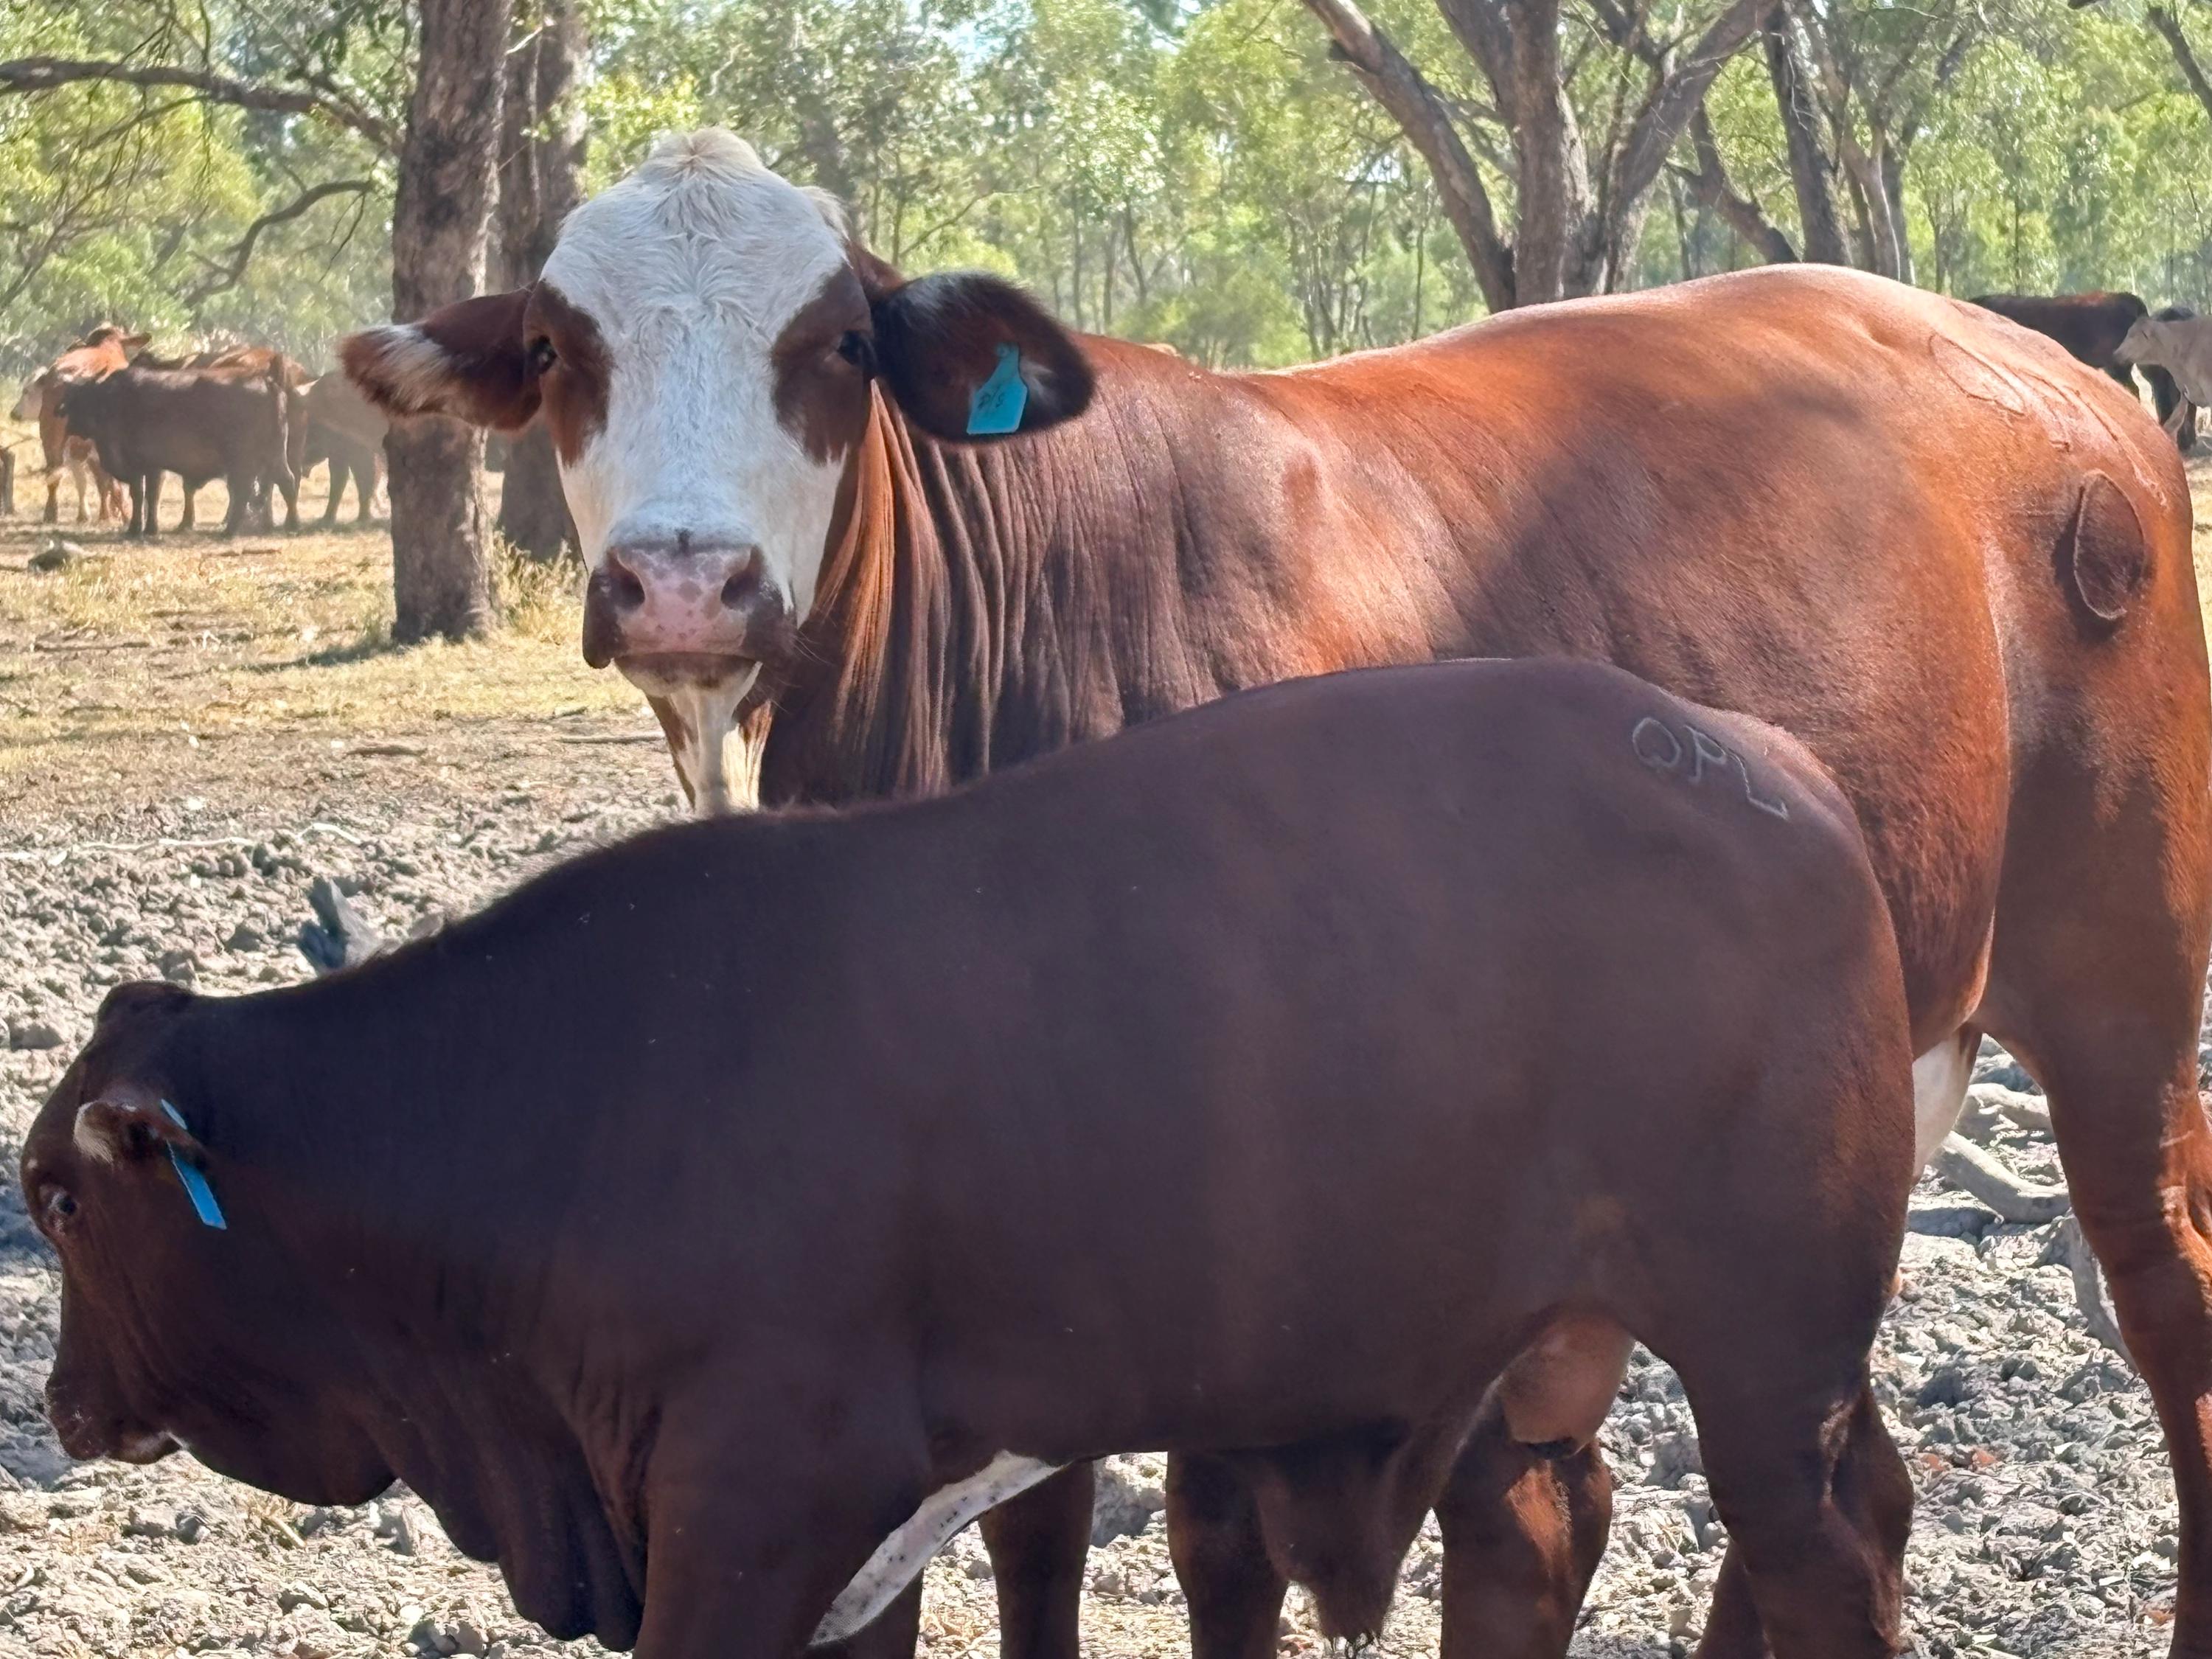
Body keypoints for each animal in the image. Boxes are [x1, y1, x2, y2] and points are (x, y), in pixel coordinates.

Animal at [25, 657, 1922, 1659]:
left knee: (1815, 1553)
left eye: (53, 1191)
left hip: (1767, 1349)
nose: (57, 1403)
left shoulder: (750, 1503)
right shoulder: (858, 1540)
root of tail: (1774, 766)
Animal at [57, 360, 297, 538]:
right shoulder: (153, 468)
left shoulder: (139, 465)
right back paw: (292, 524)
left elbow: (140, 495)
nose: (62, 415)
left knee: (243, 491)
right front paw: (150, 528)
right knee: (287, 482)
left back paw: (229, 531)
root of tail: (266, 381)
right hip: (275, 455)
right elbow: (150, 497)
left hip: (242, 461)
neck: (113, 401)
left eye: (80, 396)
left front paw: (136, 529)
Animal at [343, 131, 2212, 1659]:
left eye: (836, 347)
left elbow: (1211, 1535)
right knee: (1817, 1478)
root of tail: (2051, 371)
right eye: (560, 350)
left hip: (2114, 988)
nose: (683, 582)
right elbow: (1027, 1528)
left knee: (2157, 1290)